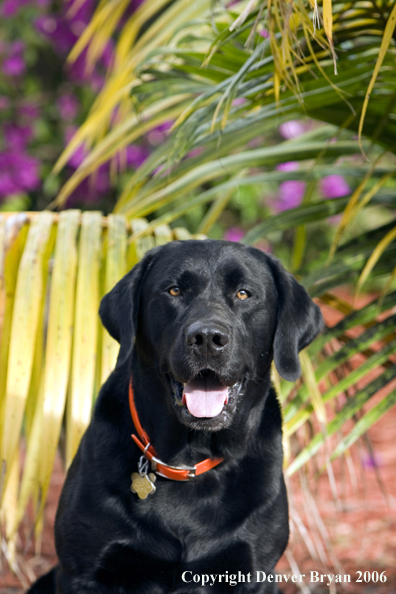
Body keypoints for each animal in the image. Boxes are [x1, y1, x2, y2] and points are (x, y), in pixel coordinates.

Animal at [27, 239, 324, 592]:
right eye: (174, 291)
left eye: (243, 293)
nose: (208, 338)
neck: (188, 457)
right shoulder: (82, 573)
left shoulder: (255, 573)